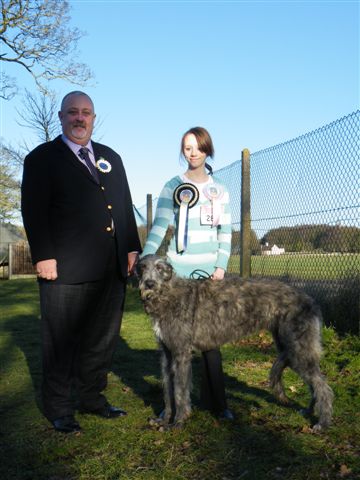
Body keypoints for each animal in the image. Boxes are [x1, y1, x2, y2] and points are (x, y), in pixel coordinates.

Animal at [136, 255, 334, 432]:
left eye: (160, 268)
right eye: (143, 267)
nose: (149, 284)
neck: (166, 294)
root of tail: (311, 300)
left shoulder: (181, 353)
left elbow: (180, 391)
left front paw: (178, 423)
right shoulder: (167, 353)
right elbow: (167, 389)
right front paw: (164, 419)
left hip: (298, 349)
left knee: (323, 386)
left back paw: (322, 423)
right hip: (290, 348)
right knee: (315, 383)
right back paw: (309, 411)